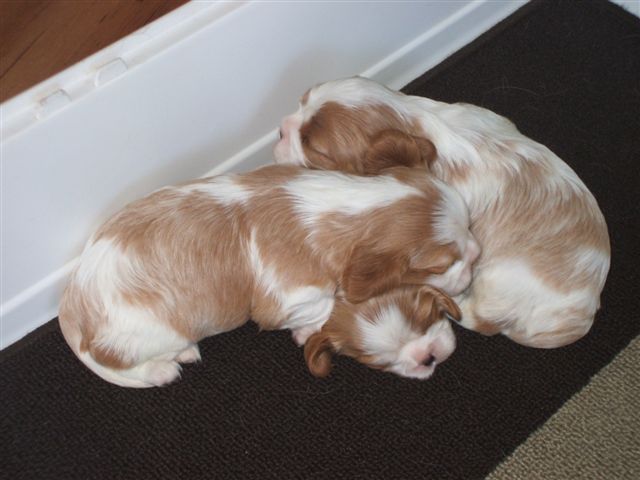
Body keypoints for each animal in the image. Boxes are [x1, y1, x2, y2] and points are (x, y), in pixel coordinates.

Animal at [274, 76, 608, 348]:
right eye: (300, 101)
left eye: (310, 144)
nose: (280, 130)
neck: (413, 120)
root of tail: (582, 316)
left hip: (499, 281)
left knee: (482, 319)